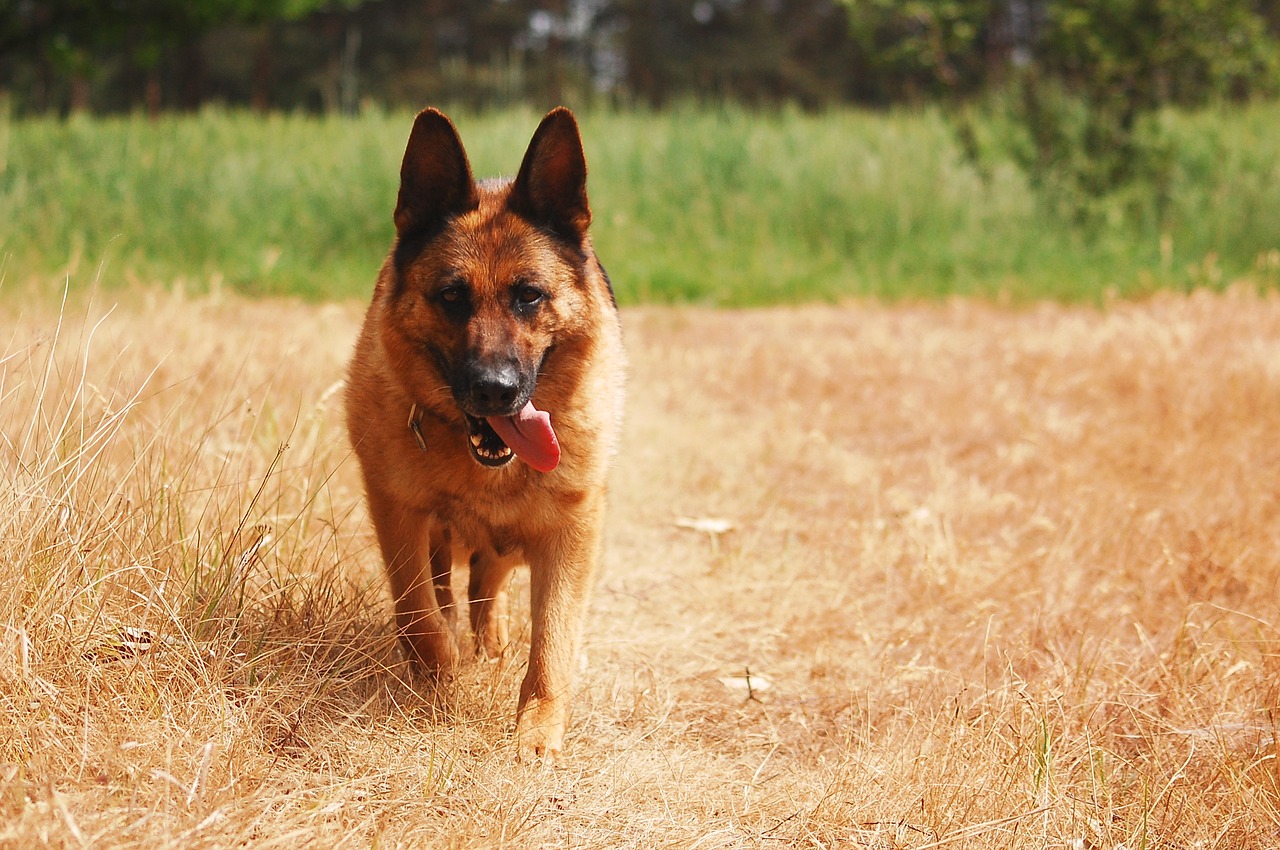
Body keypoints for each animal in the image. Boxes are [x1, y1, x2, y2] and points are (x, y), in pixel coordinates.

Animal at [345, 106, 624, 757]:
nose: (496, 390)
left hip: (518, 540)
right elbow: (418, 609)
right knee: (449, 588)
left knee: (488, 583)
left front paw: (537, 732)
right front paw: (441, 676)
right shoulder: (398, 511)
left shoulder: (570, 532)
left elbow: (553, 641)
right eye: (452, 295)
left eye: (530, 296)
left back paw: (491, 642)